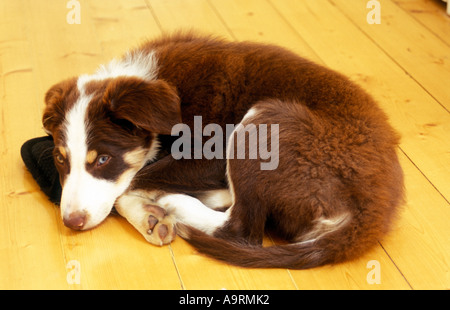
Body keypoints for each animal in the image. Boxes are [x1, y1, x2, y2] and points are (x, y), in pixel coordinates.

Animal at [41, 32, 404, 268]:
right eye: (60, 159)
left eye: (103, 159)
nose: (71, 222)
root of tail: (372, 212)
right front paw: (149, 217)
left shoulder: (212, 153)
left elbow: (133, 180)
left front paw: (149, 211)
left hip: (264, 123)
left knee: (241, 229)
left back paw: (179, 202)